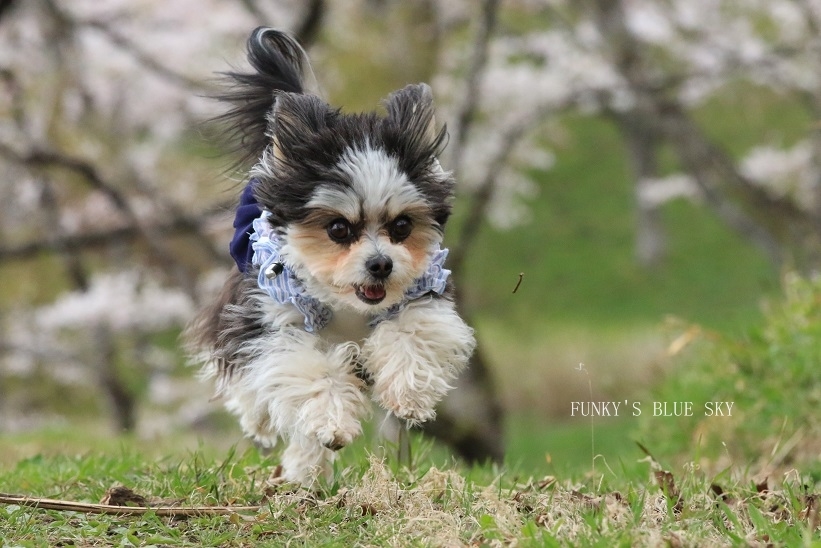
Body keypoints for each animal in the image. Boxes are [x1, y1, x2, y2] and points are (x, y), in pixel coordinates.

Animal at [187, 27, 474, 486]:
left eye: (401, 227)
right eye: (338, 229)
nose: (381, 264)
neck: (345, 305)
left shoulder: (421, 292)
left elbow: (413, 331)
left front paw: (408, 395)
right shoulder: (276, 311)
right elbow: (304, 366)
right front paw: (333, 422)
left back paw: (305, 469)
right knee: (251, 382)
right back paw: (265, 427)